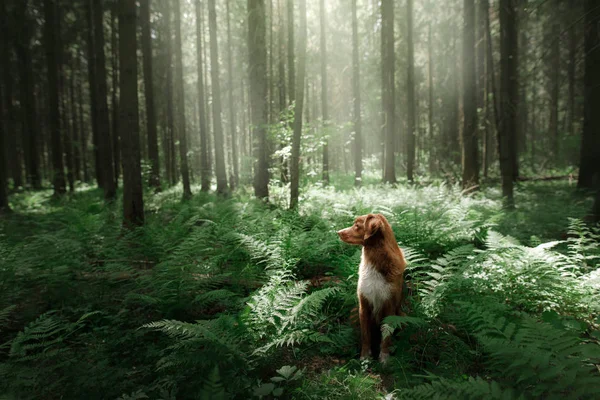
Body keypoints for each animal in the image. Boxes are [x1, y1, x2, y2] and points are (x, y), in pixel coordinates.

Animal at [338, 214, 408, 364]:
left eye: (357, 225)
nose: (338, 232)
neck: (375, 258)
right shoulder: (363, 305)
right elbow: (365, 335)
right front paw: (365, 357)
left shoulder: (389, 305)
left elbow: (386, 336)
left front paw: (384, 357)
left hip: (402, 316)